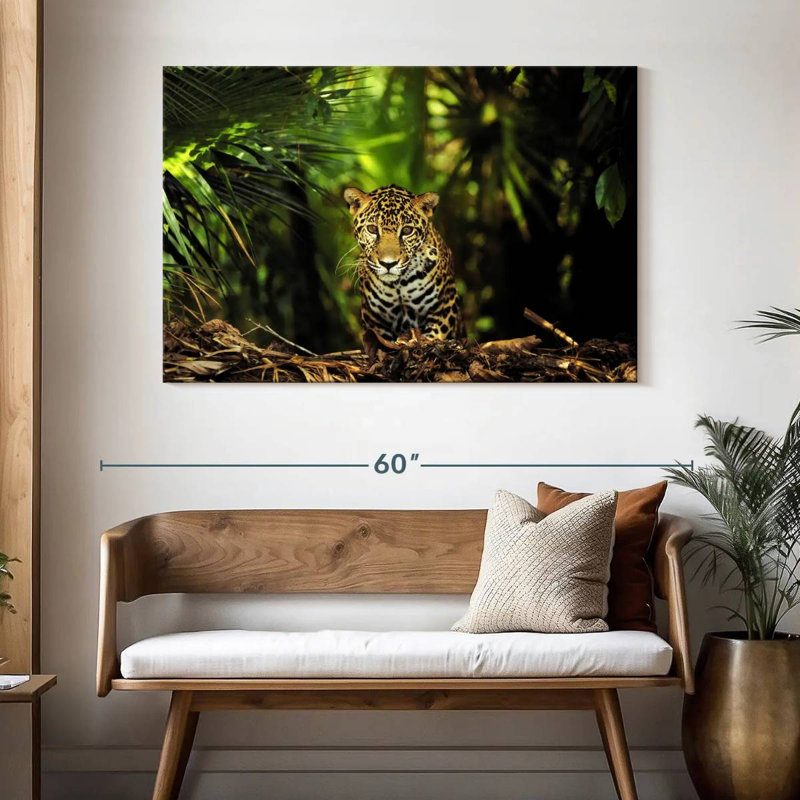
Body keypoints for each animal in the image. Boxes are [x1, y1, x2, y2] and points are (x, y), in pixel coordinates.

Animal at [343, 184, 465, 341]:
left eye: (407, 230)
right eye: (372, 229)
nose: (388, 264)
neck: (399, 285)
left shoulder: (445, 306)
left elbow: (433, 337)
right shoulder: (374, 319)